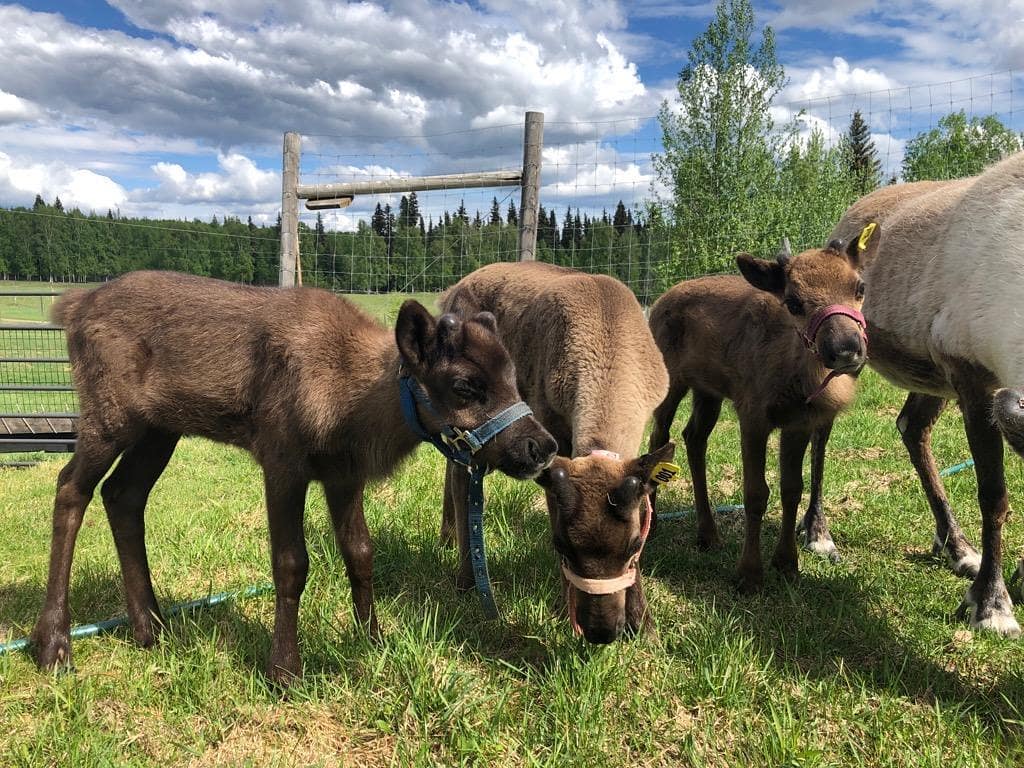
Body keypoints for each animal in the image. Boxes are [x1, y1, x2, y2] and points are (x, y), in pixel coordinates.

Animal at [34, 272, 561, 684]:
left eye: (513, 376)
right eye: (464, 385)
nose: (541, 447)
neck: (353, 404)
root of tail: (73, 308)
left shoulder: (344, 475)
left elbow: (361, 554)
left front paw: (372, 638)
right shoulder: (282, 463)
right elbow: (291, 564)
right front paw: (285, 670)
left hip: (159, 429)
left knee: (123, 495)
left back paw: (151, 627)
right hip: (109, 417)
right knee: (70, 489)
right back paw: (54, 645)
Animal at [438, 262, 671, 647]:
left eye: (634, 545)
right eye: (561, 546)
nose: (600, 632)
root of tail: (450, 292)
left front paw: (646, 625)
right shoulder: (550, 435)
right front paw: (564, 613)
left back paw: (446, 539)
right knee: (460, 476)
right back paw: (465, 578)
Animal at [651, 236, 876, 593]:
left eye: (860, 287)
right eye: (793, 301)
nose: (845, 349)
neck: (795, 374)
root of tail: (659, 302)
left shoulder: (799, 423)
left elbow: (792, 488)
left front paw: (787, 563)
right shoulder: (753, 415)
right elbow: (756, 493)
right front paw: (749, 574)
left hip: (708, 391)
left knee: (694, 437)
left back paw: (708, 533)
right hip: (671, 381)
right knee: (659, 435)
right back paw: (654, 522)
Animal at [827, 151, 1024, 638]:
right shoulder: (972, 374)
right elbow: (995, 497)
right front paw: (992, 607)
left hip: (932, 379)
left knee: (911, 427)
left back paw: (959, 550)